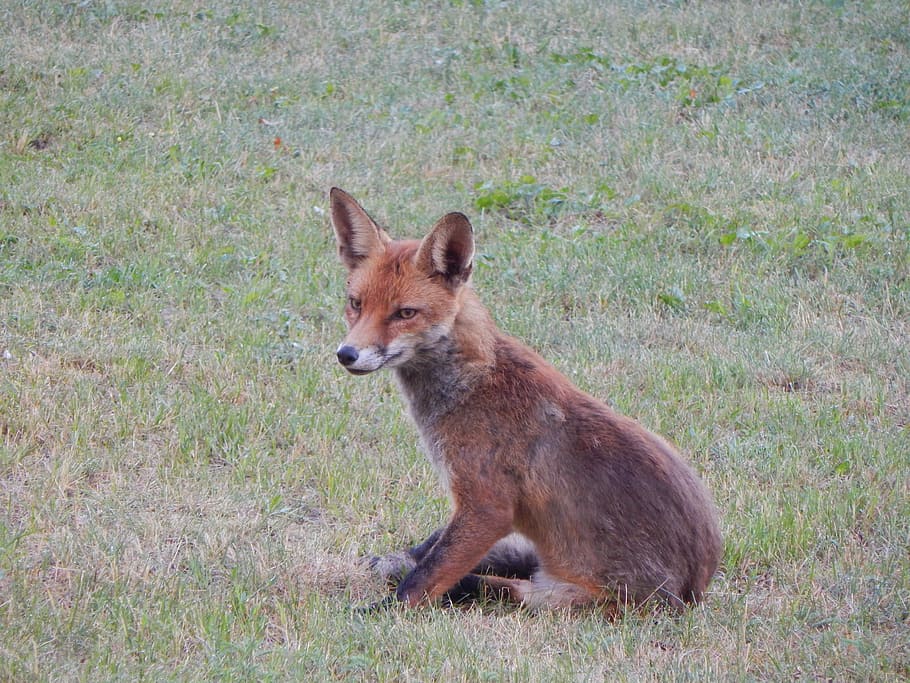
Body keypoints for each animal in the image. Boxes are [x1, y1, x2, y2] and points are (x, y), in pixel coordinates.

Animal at [329, 187, 722, 614]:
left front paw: (378, 614)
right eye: (356, 303)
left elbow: (421, 582)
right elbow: (428, 553)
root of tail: (694, 591)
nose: (346, 354)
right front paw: (390, 566)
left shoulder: (486, 506)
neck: (471, 382)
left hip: (559, 596)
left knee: (480, 584)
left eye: (405, 313)